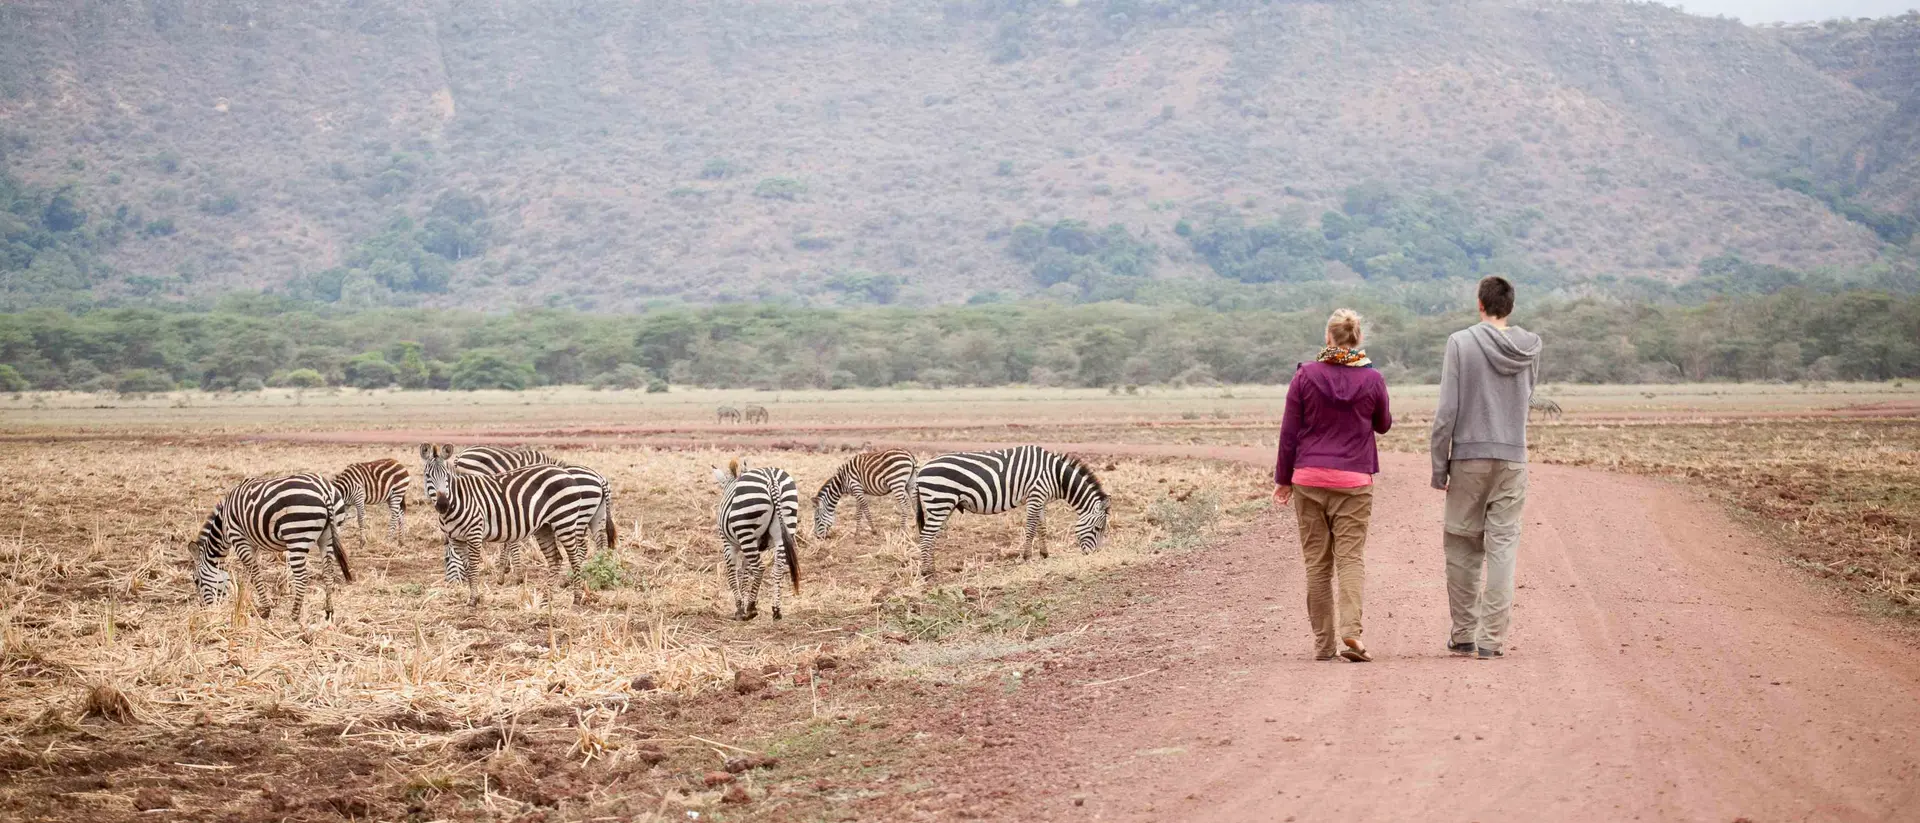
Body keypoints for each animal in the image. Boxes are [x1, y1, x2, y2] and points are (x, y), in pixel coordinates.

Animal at [191, 473, 352, 622]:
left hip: (297, 536)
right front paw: (246, 602)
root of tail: (324, 490)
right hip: (328, 536)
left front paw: (265, 610)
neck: (223, 526)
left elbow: (255, 574)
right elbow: (250, 574)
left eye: (196, 581)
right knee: (328, 572)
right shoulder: (253, 543)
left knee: (301, 577)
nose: (204, 610)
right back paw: (329, 611)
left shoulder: (238, 538)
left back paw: (293, 616)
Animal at [419, 444, 614, 605]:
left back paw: (575, 593)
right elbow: (478, 560)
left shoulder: (487, 523)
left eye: (446, 560)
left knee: (577, 552)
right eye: (427, 476)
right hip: (585, 519)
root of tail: (600, 478)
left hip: (571, 519)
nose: (442, 504)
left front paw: (504, 578)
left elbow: (480, 562)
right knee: (589, 547)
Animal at [712, 459, 801, 620]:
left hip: (746, 529)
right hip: (785, 527)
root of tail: (772, 479)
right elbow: (745, 572)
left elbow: (732, 574)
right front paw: (744, 599)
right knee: (778, 568)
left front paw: (740, 607)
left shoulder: (728, 544)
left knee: (759, 568)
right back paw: (776, 610)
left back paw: (751, 608)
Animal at [909, 445, 1110, 579]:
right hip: (940, 501)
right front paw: (1027, 557)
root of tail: (921, 470)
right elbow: (1031, 528)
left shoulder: (1040, 499)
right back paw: (927, 573)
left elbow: (1042, 527)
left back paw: (932, 568)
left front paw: (1044, 554)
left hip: (943, 505)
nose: (1095, 555)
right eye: (1098, 529)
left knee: (931, 536)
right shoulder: (1035, 495)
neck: (1056, 476)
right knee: (926, 536)